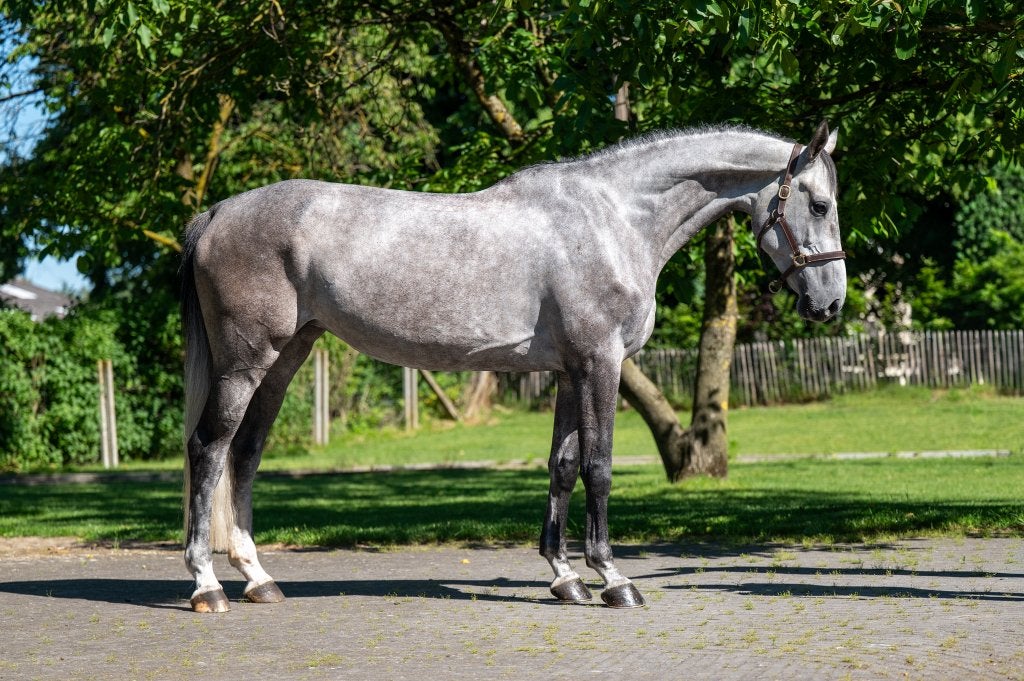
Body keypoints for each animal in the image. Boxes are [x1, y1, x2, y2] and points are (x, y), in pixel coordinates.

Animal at [180, 121, 846, 612]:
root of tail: (217, 214)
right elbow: (599, 468)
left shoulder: (570, 371)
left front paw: (565, 577)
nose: (833, 302)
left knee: (246, 453)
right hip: (247, 362)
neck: (613, 218)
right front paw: (613, 579)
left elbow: (563, 466)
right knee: (210, 448)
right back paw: (208, 585)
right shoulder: (600, 363)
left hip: (286, 357)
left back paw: (258, 579)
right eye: (819, 204)